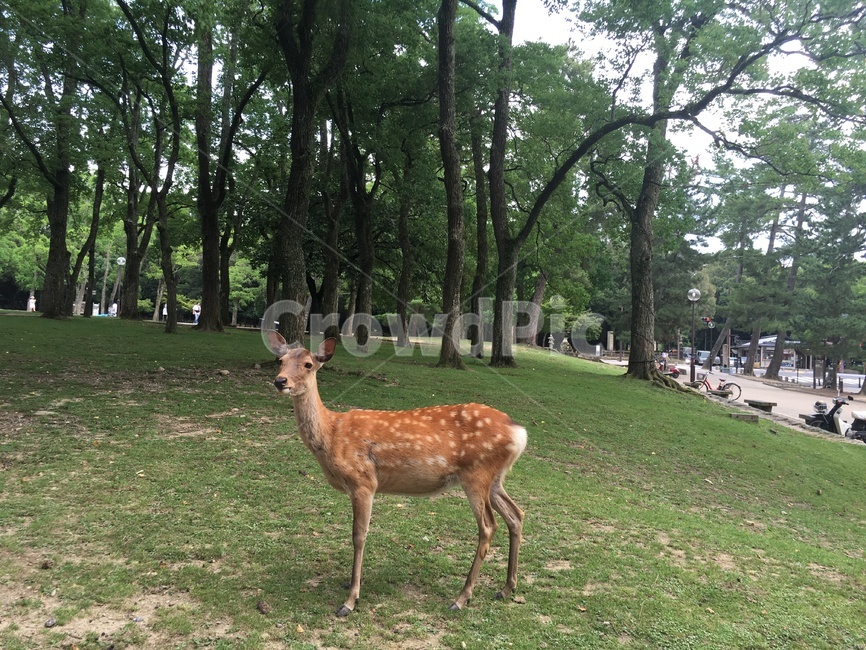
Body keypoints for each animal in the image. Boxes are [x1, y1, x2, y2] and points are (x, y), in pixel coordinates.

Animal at [266, 331, 527, 616]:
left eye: (308, 364)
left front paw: (350, 600)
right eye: (280, 360)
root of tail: (519, 432)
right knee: (516, 515)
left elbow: (359, 536)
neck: (332, 434)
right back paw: (506, 589)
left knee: (488, 526)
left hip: (477, 474)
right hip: (495, 478)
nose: (280, 381)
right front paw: (350, 585)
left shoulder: (363, 481)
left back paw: (461, 598)